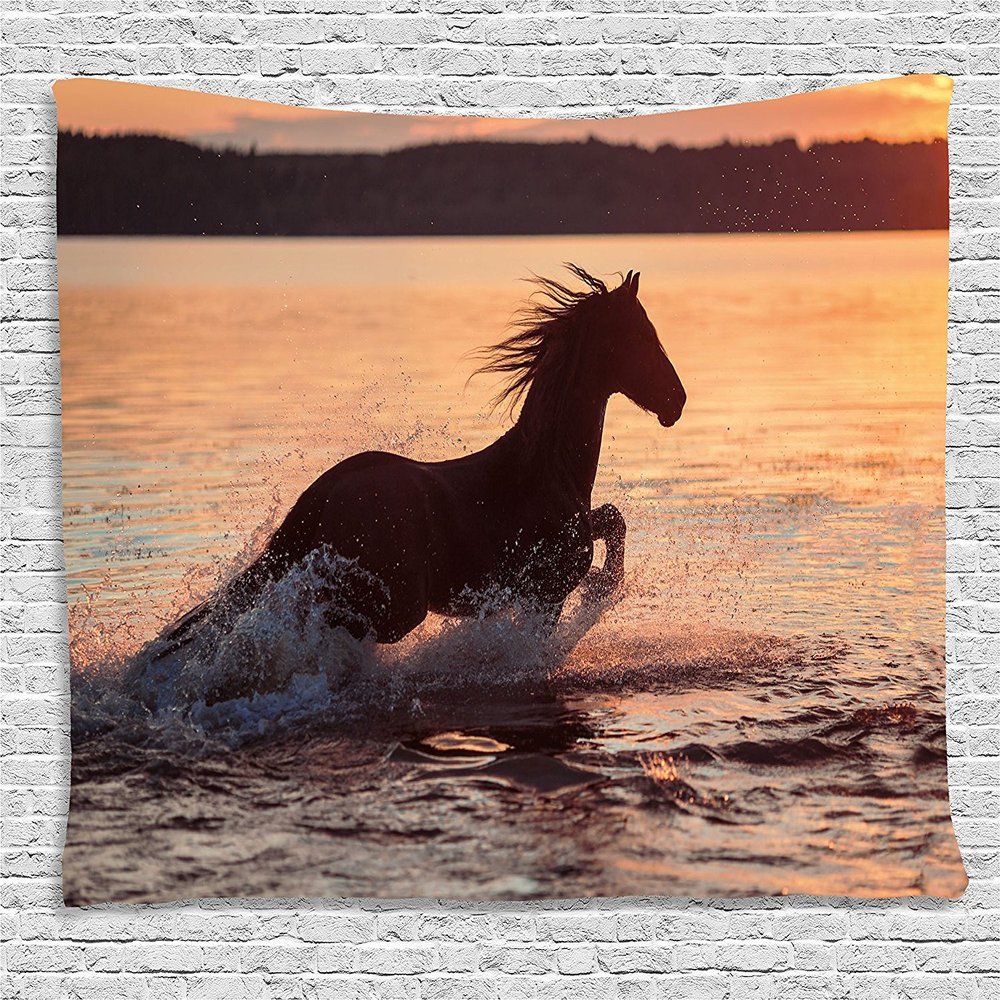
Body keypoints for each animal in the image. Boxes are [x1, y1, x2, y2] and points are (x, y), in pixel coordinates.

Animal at [155, 265, 685, 661]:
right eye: (643, 335)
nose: (676, 401)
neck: (545, 472)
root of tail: (326, 489)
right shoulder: (545, 593)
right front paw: (600, 588)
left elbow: (613, 518)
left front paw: (602, 583)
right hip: (395, 608)